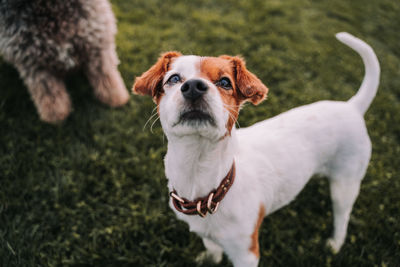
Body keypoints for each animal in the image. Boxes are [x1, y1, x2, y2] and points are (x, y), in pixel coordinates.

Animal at [0, 0, 128, 123]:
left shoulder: (97, 41)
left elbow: (106, 76)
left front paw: (116, 98)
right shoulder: (31, 63)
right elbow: (49, 93)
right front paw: (56, 117)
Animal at [133, 32, 380, 266]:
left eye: (225, 82)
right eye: (174, 79)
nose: (194, 86)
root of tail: (351, 106)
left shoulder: (246, 253)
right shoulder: (208, 234)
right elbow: (211, 246)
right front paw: (211, 258)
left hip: (345, 184)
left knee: (342, 216)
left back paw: (335, 243)